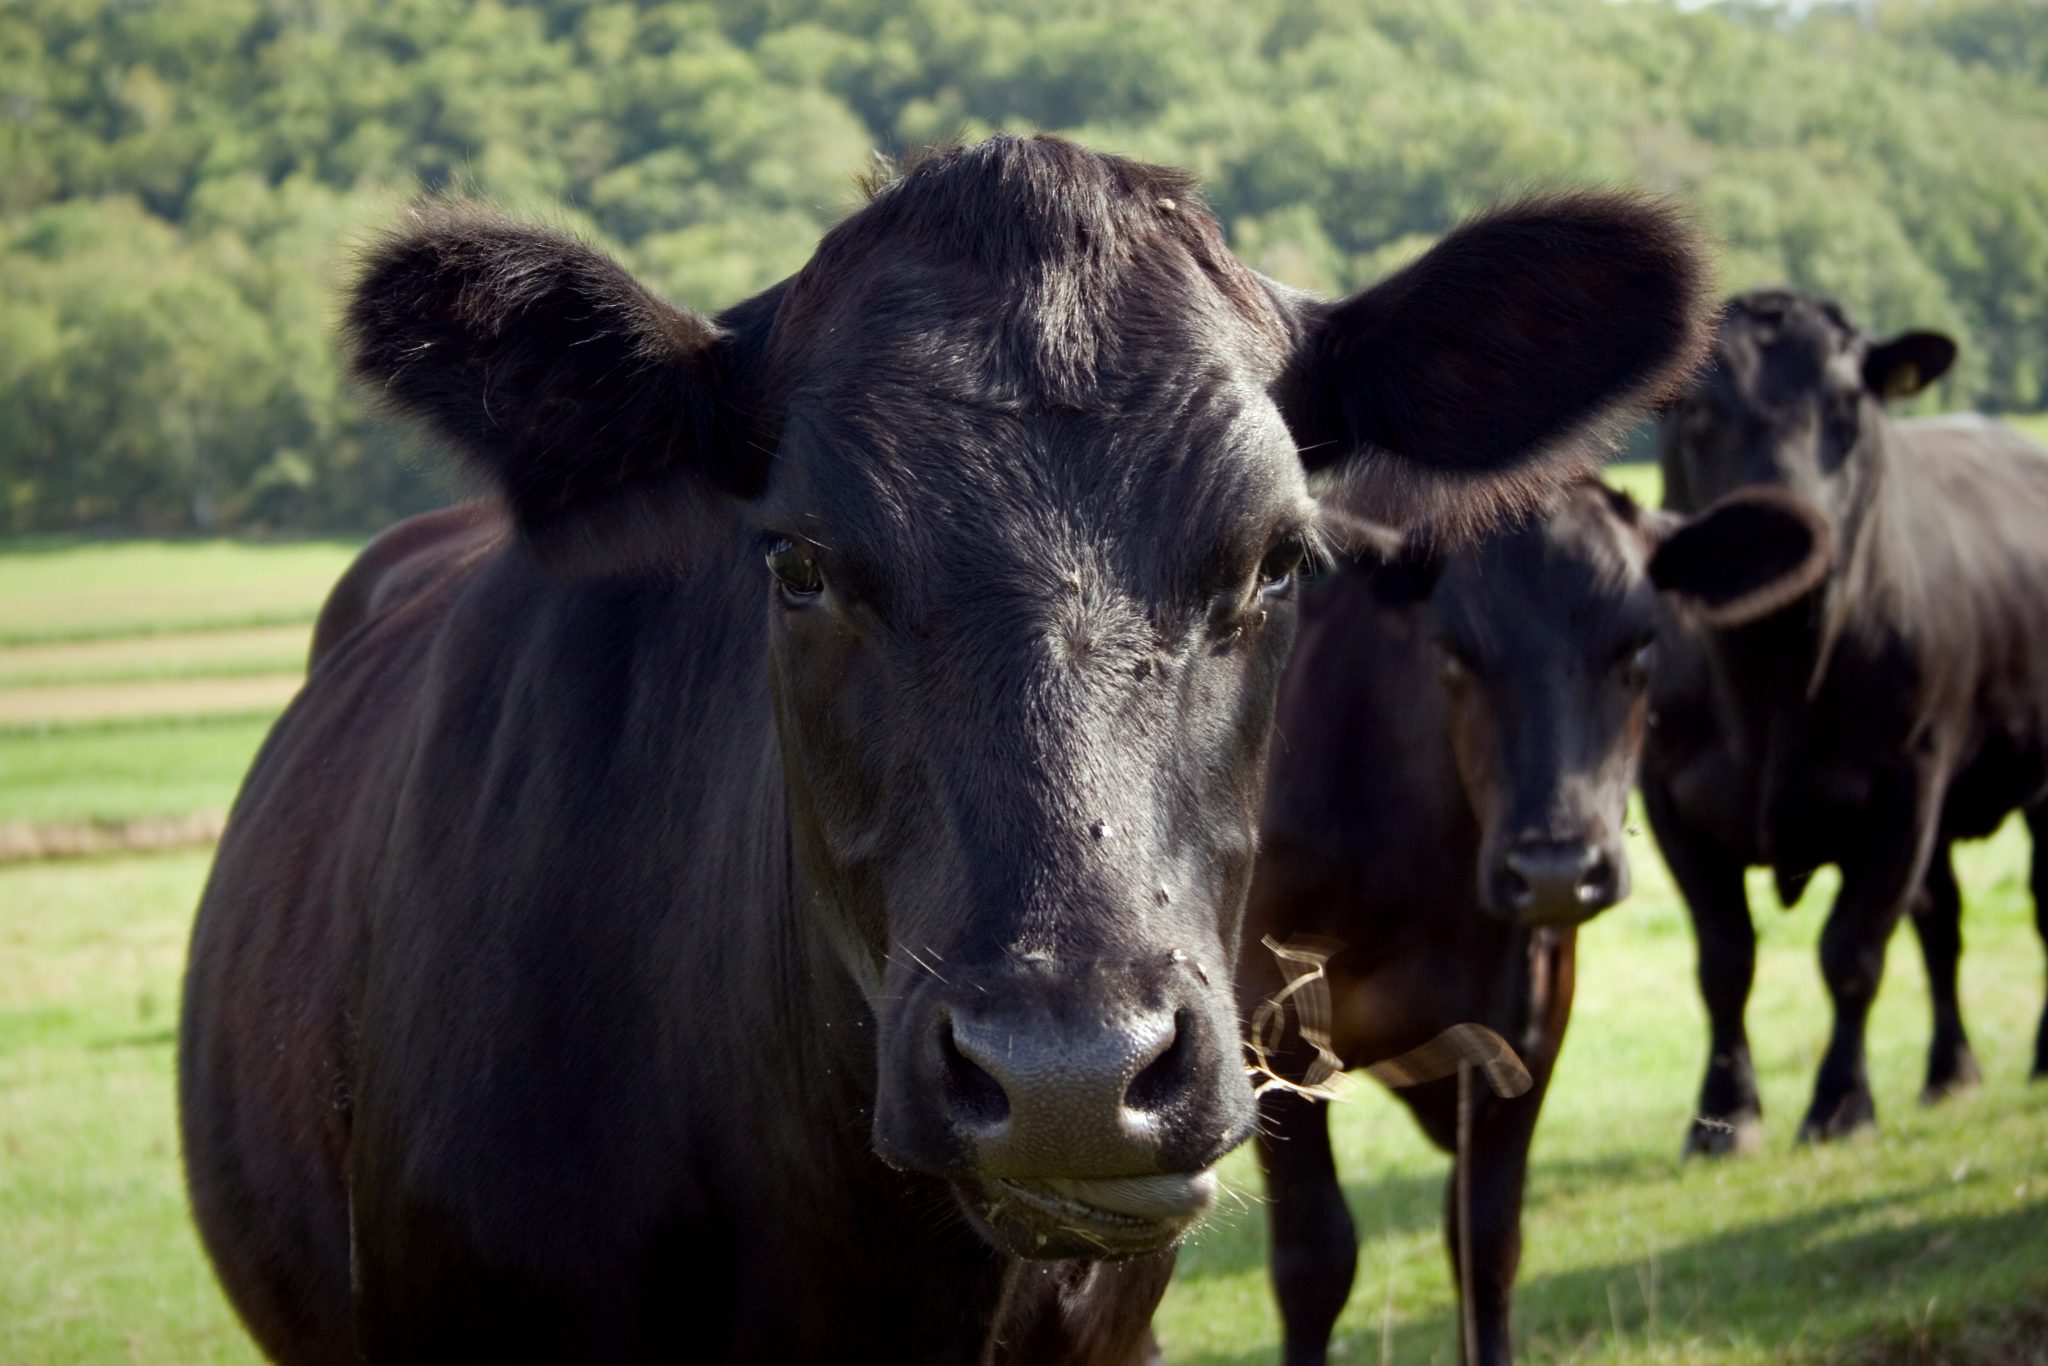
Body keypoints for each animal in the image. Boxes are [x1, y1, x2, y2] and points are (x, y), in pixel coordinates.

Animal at [1239, 478, 1828, 1366]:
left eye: (1641, 647)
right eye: (1451, 651)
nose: (1554, 869)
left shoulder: (1535, 1016)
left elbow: (1485, 1243)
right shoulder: (1264, 1021)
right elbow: (1316, 1257)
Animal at [1645, 287, 2048, 1157]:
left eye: (1843, 405)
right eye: (1697, 408)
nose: (1782, 536)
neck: (1766, 690)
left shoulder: (1907, 783)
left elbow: (1853, 949)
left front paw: (1839, 1105)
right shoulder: (1666, 797)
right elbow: (1724, 959)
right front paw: (1723, 1118)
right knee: (1942, 921)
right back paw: (1949, 1072)